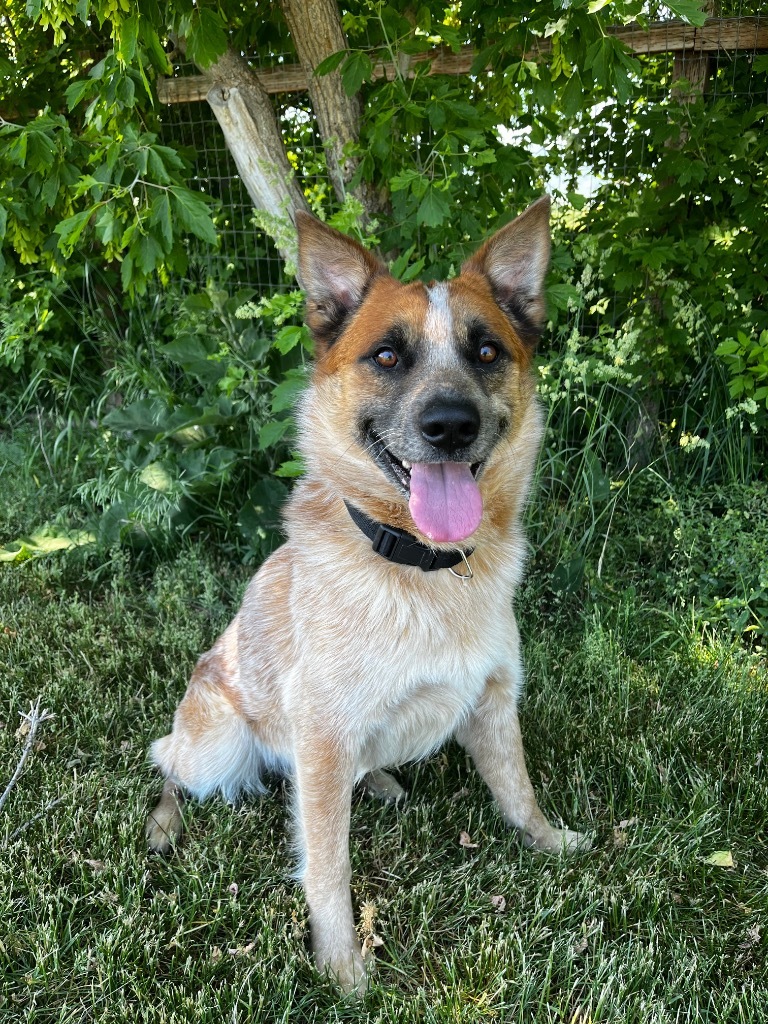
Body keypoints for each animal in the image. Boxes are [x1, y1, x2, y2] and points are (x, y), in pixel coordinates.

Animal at [145, 197, 589, 991]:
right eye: (387, 356)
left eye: (486, 352)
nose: (450, 426)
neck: (425, 570)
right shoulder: (322, 736)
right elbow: (328, 867)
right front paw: (341, 965)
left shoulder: (493, 702)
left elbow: (519, 790)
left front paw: (549, 840)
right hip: (217, 743)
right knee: (166, 762)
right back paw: (164, 824)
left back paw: (378, 781)